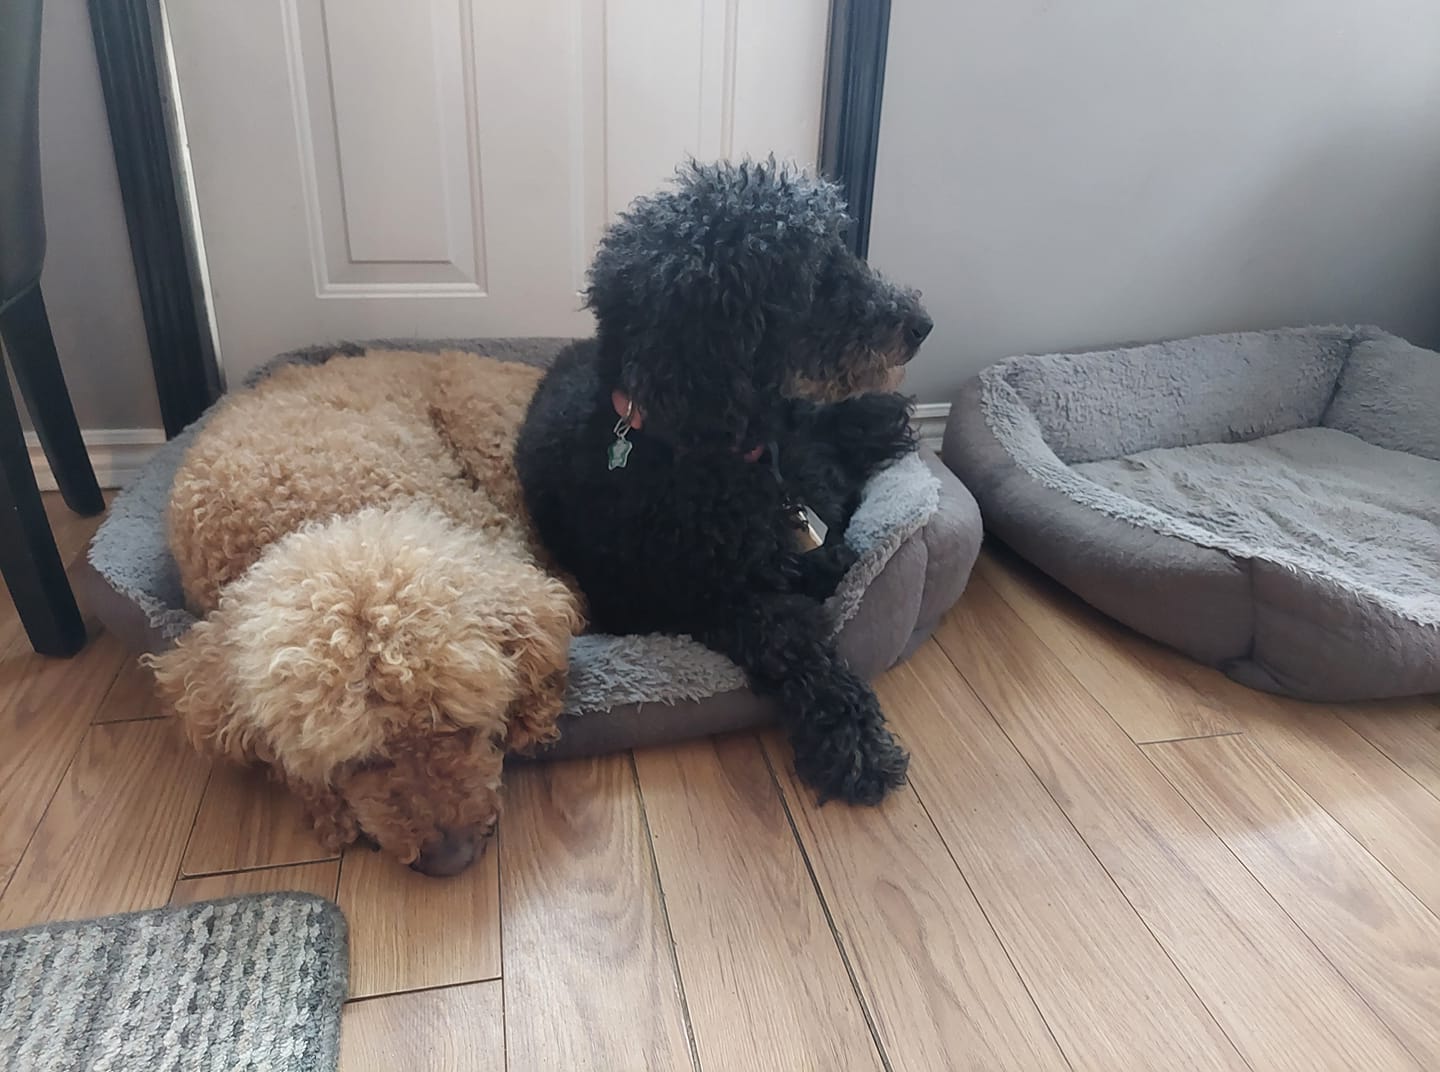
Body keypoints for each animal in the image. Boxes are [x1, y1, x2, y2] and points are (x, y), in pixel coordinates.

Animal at [518, 161, 933, 806]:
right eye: (816, 274)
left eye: (842, 247)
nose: (922, 324)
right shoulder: (664, 602)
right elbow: (782, 631)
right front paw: (853, 742)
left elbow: (818, 557)